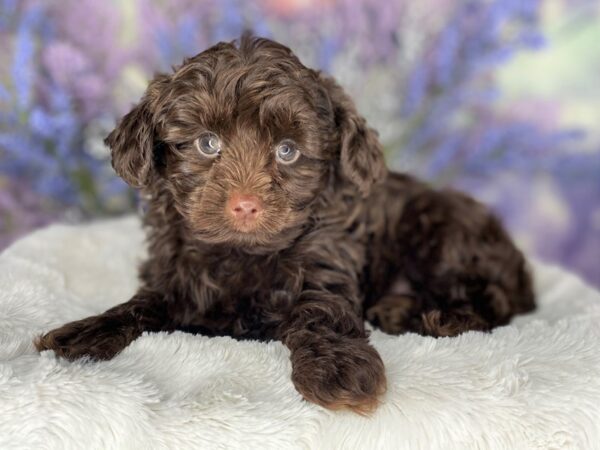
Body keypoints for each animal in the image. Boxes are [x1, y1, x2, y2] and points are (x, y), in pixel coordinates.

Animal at [35, 35, 532, 414]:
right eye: (207, 143)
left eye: (287, 151)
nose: (245, 205)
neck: (241, 254)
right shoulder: (173, 271)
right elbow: (143, 302)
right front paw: (85, 332)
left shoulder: (327, 260)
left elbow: (322, 311)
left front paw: (338, 369)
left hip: (439, 235)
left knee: (489, 300)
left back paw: (426, 314)